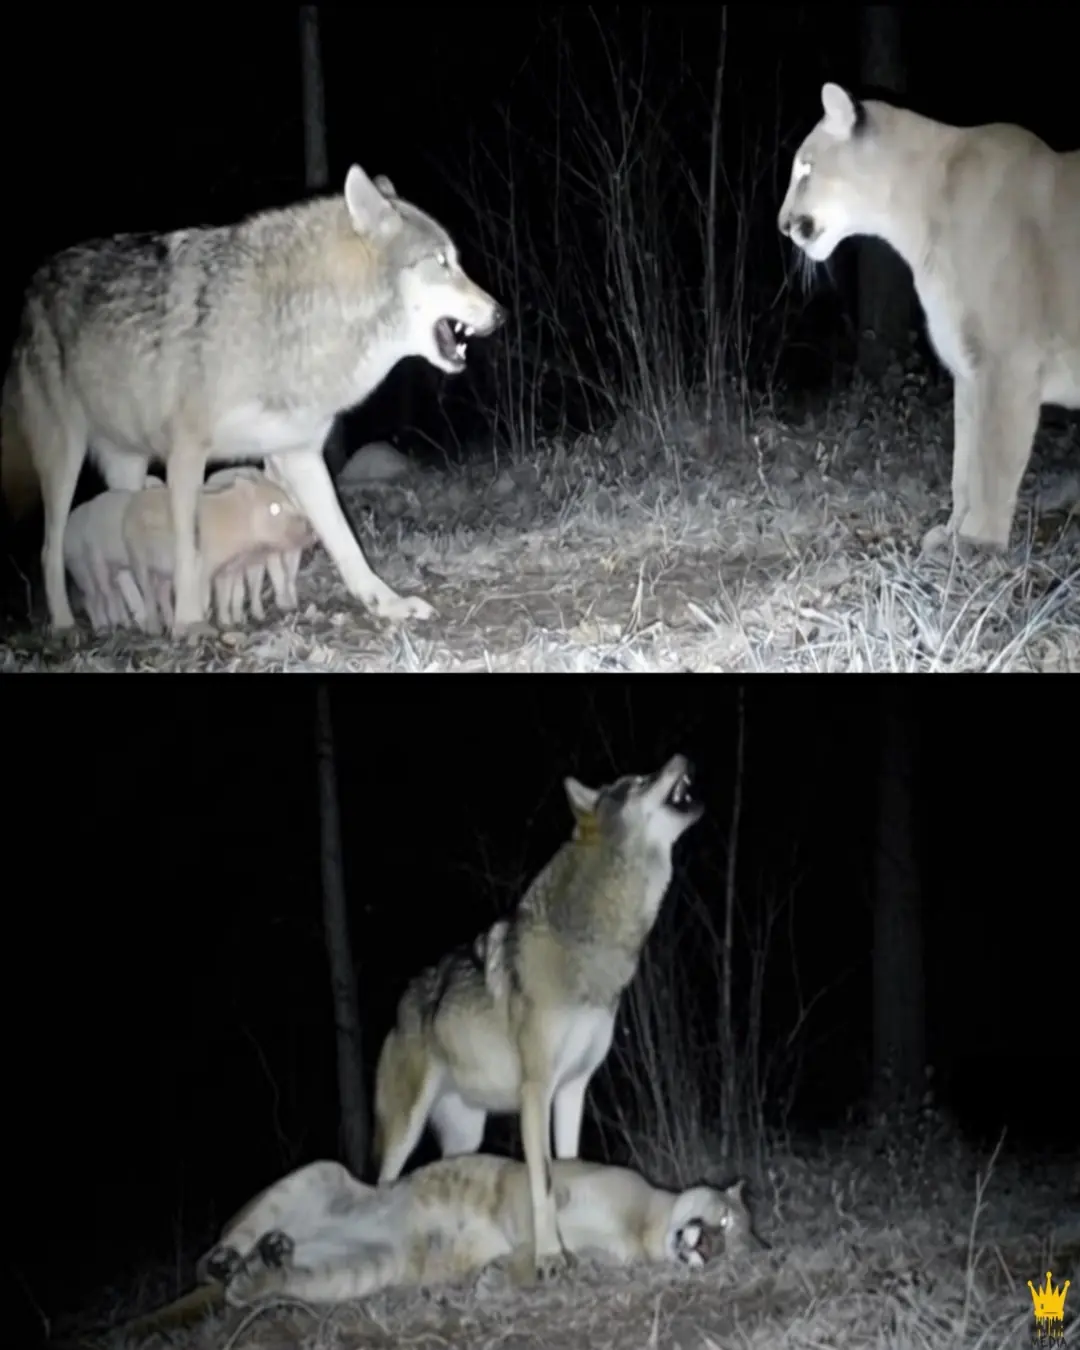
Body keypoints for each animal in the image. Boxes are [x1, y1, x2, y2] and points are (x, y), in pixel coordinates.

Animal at [0, 166, 505, 636]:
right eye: (441, 261)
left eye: (454, 261)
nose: (500, 313)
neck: (292, 322)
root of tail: (30, 292)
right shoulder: (186, 454)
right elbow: (189, 547)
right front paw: (189, 622)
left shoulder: (298, 454)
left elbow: (346, 542)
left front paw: (388, 604)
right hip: (65, 459)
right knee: (48, 549)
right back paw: (66, 623)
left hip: (129, 467)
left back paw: (142, 619)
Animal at [373, 755, 703, 1284]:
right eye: (638, 782)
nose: (682, 758)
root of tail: (402, 1004)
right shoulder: (537, 1090)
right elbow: (543, 1183)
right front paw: (550, 1258)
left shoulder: (572, 1088)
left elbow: (569, 1164)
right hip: (404, 1130)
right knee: (381, 1184)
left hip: (466, 1135)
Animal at [779, 82, 1080, 556]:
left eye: (806, 167)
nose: (782, 224)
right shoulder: (970, 370)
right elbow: (964, 464)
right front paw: (951, 532)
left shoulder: (1008, 364)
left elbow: (993, 463)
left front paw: (978, 542)